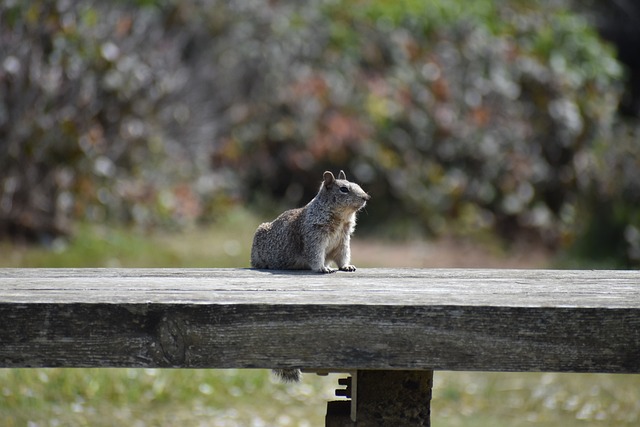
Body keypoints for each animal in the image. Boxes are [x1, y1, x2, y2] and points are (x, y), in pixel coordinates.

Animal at [250, 171, 370, 384]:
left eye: (356, 184)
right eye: (344, 189)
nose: (366, 197)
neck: (341, 218)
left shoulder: (343, 241)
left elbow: (343, 257)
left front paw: (347, 266)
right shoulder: (315, 235)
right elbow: (315, 255)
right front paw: (323, 268)